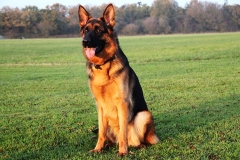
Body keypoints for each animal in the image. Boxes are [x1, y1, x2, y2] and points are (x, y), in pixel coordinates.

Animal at [78, 4, 158, 156]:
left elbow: (123, 132)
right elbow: (101, 133)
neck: (103, 65)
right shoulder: (100, 106)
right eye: (86, 30)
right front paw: (98, 148)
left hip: (143, 115)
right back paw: (107, 145)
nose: (85, 42)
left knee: (137, 140)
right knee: (107, 135)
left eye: (98, 30)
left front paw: (123, 152)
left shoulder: (122, 103)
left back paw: (138, 146)